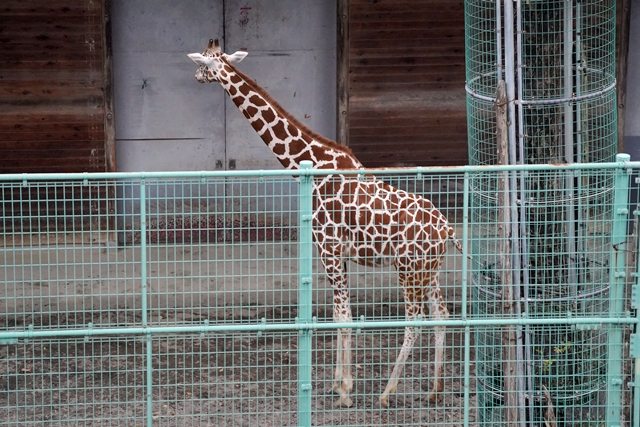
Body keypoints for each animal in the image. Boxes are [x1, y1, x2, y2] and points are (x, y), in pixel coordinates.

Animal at [188, 39, 462, 408]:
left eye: (204, 63)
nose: (194, 76)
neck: (313, 164)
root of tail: (448, 230)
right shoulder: (337, 254)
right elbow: (338, 315)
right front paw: (337, 383)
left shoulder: (329, 249)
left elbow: (344, 317)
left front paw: (345, 391)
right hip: (429, 268)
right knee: (441, 314)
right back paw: (435, 389)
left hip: (408, 267)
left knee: (415, 320)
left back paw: (387, 392)